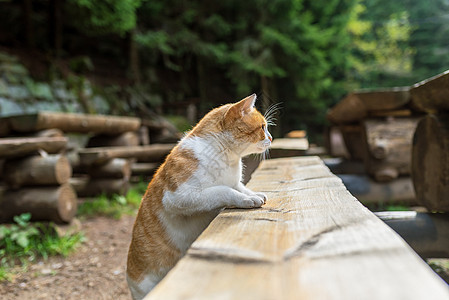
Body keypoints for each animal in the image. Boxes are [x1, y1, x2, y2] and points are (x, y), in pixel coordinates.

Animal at [128, 94, 272, 300]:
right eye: (262, 127)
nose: (271, 138)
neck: (227, 157)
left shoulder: (235, 182)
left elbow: (240, 188)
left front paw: (254, 194)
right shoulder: (179, 197)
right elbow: (223, 190)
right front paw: (248, 200)